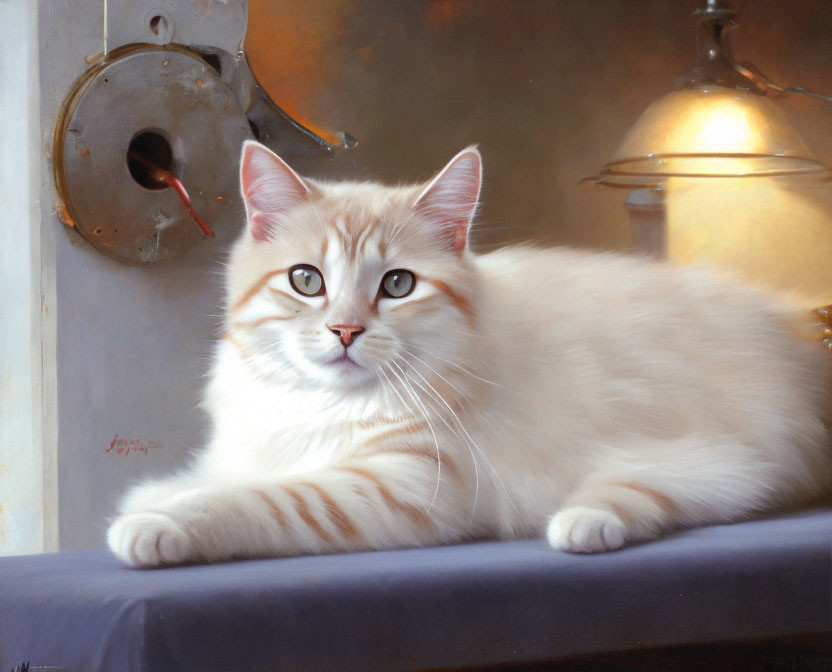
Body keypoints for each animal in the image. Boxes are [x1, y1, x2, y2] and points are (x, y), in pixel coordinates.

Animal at [107, 142, 828, 568]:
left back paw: (581, 524)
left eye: (397, 285)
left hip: (709, 457)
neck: (321, 406)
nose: (345, 331)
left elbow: (261, 500)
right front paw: (156, 494)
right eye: (306, 280)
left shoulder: (405, 484)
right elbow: (220, 475)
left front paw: (156, 522)